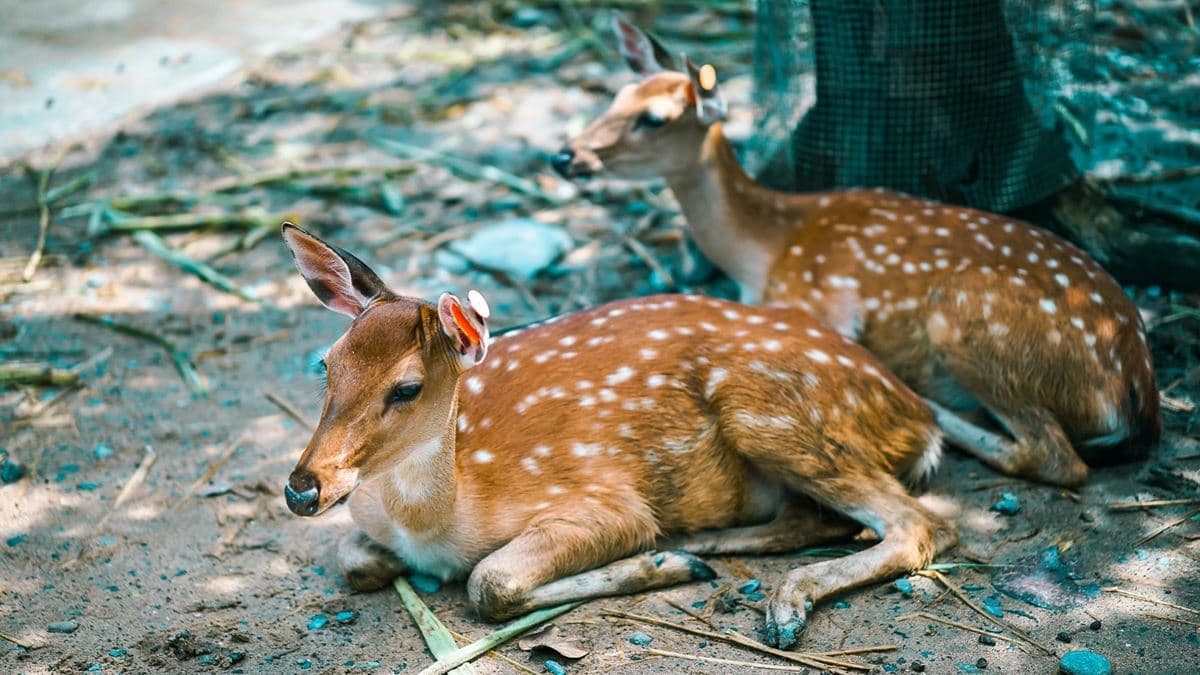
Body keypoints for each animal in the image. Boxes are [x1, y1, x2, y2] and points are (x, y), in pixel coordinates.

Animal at [279, 222, 955, 649]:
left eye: (407, 388)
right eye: (327, 363)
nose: (302, 489)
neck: (439, 524)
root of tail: (920, 416)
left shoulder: (603, 500)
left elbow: (489, 582)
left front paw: (655, 561)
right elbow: (352, 560)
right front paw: (669, 559)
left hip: (772, 413)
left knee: (921, 525)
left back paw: (778, 601)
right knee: (821, 518)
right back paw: (708, 549)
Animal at [551, 16, 1161, 489]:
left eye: (653, 118)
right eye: (615, 96)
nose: (564, 156)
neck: (762, 251)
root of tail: (1136, 388)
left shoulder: (820, 304)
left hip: (968, 318)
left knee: (1056, 458)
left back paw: (940, 408)